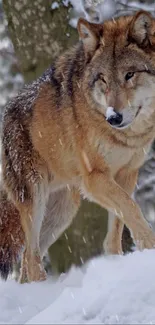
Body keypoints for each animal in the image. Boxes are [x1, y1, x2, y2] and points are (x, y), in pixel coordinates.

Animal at [0, 10, 155, 280]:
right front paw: (149, 248)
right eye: (103, 79)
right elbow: (132, 209)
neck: (126, 136)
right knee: (31, 257)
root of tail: (6, 112)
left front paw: (117, 262)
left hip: (63, 211)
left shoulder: (127, 174)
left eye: (129, 75)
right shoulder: (94, 178)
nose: (114, 117)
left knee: (27, 260)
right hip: (35, 197)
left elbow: (117, 226)